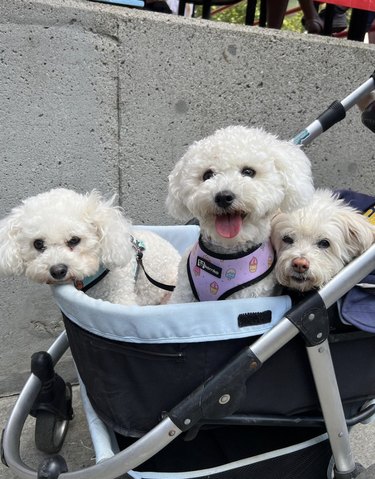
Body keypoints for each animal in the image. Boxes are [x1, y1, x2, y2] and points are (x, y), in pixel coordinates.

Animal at [167, 125, 314, 302]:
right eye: (207, 175)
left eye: (248, 171)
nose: (223, 197)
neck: (226, 252)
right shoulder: (184, 291)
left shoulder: (247, 295)